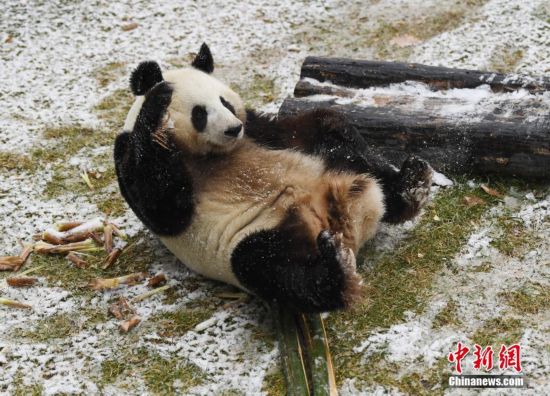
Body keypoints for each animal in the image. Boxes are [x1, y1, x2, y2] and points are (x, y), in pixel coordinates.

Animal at [114, 44, 434, 312]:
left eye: (225, 102)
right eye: (200, 113)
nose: (233, 129)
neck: (211, 154)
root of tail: (345, 227)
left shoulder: (256, 130)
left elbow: (306, 128)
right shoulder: (130, 158)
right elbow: (162, 205)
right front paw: (158, 103)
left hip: (336, 174)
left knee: (352, 158)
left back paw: (411, 186)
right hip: (255, 237)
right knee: (273, 270)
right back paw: (336, 267)